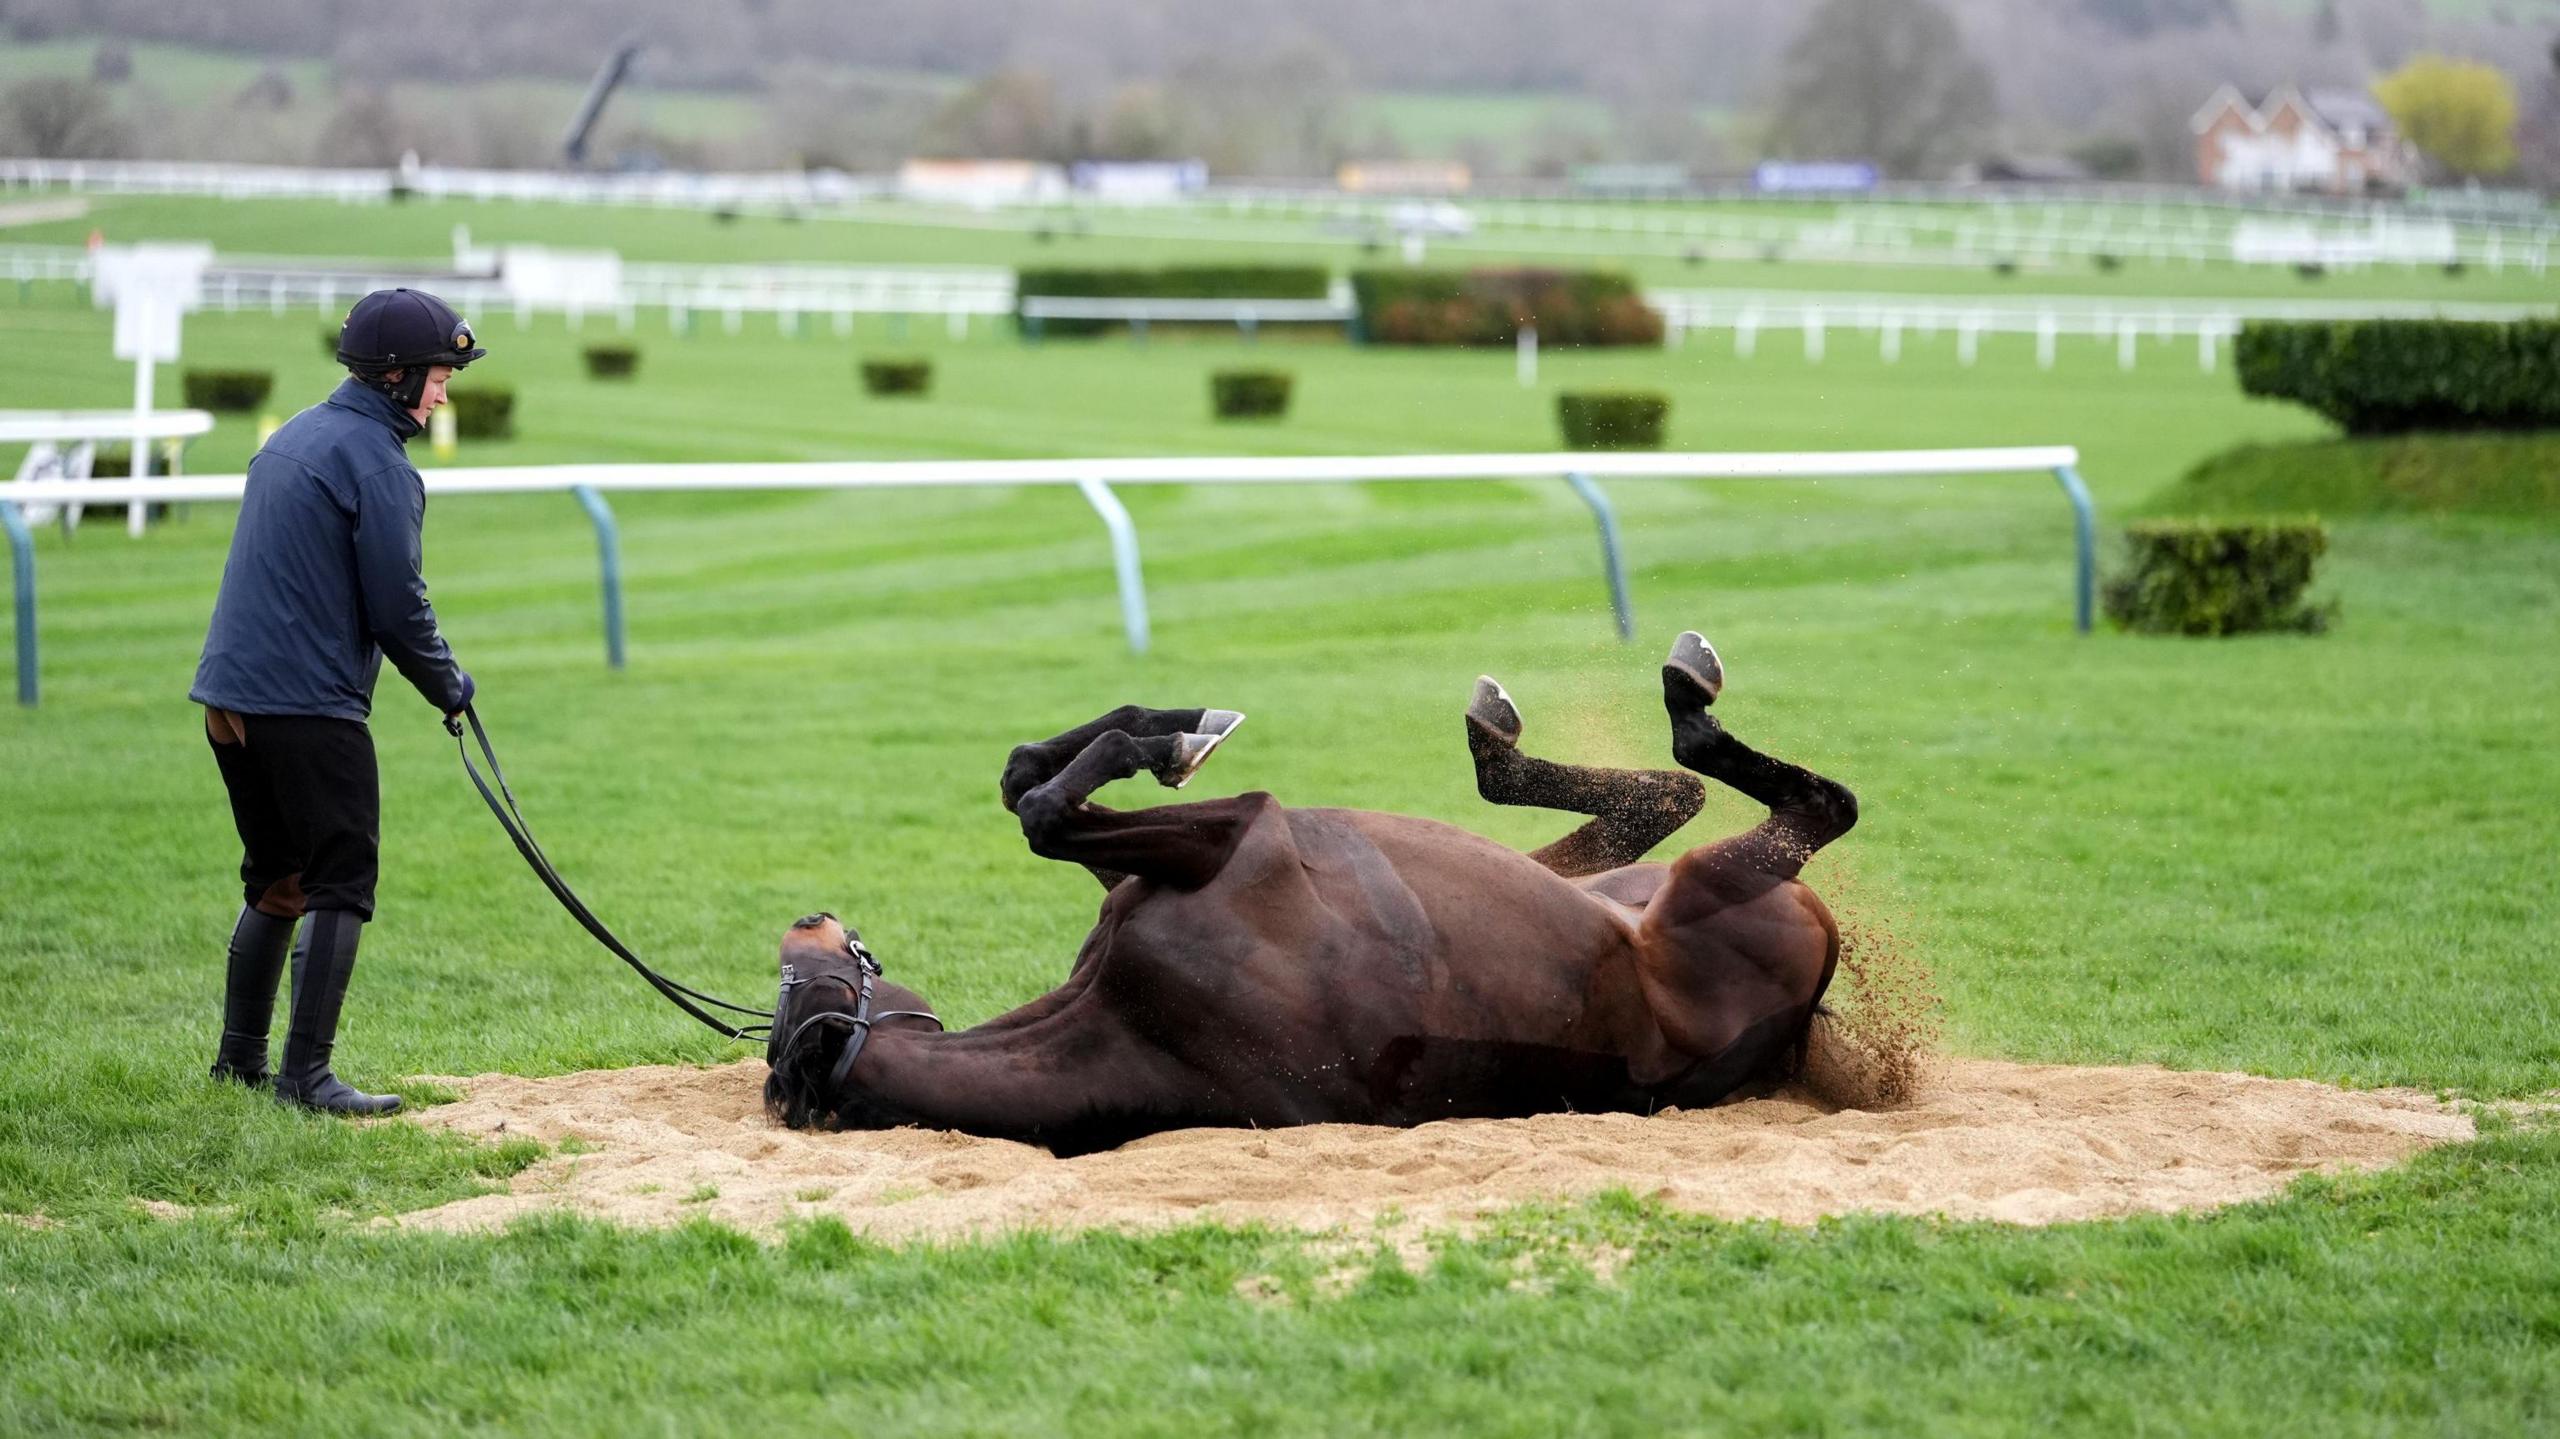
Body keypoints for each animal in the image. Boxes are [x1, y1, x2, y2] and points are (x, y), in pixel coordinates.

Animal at [764, 631, 1857, 1156]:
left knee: (1663, 801)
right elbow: (1042, 804)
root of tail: (1807, 999)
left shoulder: (1162, 866)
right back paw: (1671, 698)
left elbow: (1026, 778)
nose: (809, 918)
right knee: (1781, 799)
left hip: (1626, 886)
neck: (1128, 1020)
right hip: (1701, 889)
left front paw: (1178, 723)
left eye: (783, 987)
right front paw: (1175, 740)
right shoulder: (1245, 832)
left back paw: (1515, 729)